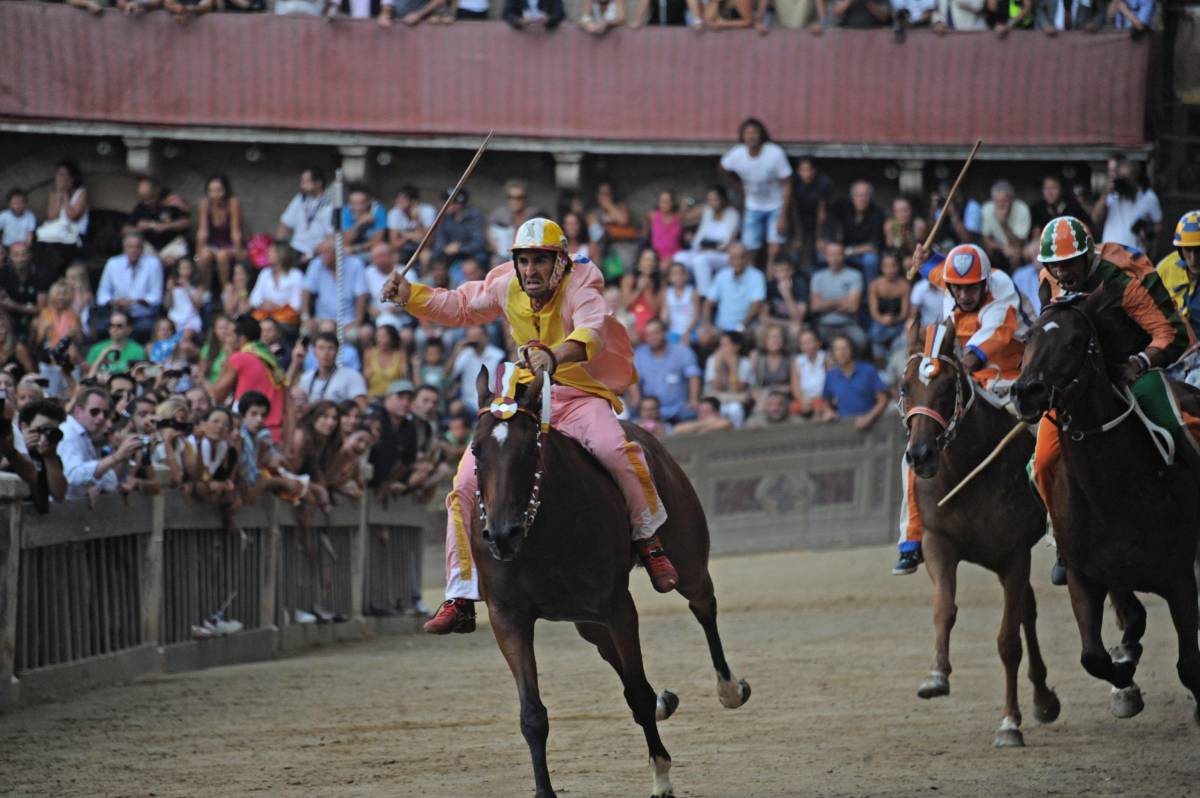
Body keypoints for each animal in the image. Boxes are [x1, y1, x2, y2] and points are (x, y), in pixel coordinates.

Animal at [468, 369, 748, 796]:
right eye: (476, 450)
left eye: (529, 450)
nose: (501, 535)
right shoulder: (508, 616)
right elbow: (532, 714)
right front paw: (544, 790)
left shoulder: (617, 606)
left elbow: (638, 691)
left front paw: (661, 777)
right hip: (583, 617)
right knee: (605, 648)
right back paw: (666, 702)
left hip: (686, 558)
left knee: (702, 604)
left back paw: (729, 689)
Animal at [902, 319, 1060, 748]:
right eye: (905, 387)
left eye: (946, 388)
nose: (920, 456)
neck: (968, 472)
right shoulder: (939, 545)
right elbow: (944, 609)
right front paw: (935, 676)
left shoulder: (1015, 553)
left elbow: (1008, 642)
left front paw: (1009, 723)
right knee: (1029, 611)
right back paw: (1044, 699)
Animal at [1012, 295, 1200, 724]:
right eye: (1027, 338)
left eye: (1075, 341)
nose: (1026, 391)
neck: (1112, 490)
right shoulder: (1085, 576)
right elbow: (1092, 656)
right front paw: (1124, 673)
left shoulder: (1180, 577)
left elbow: (1188, 665)